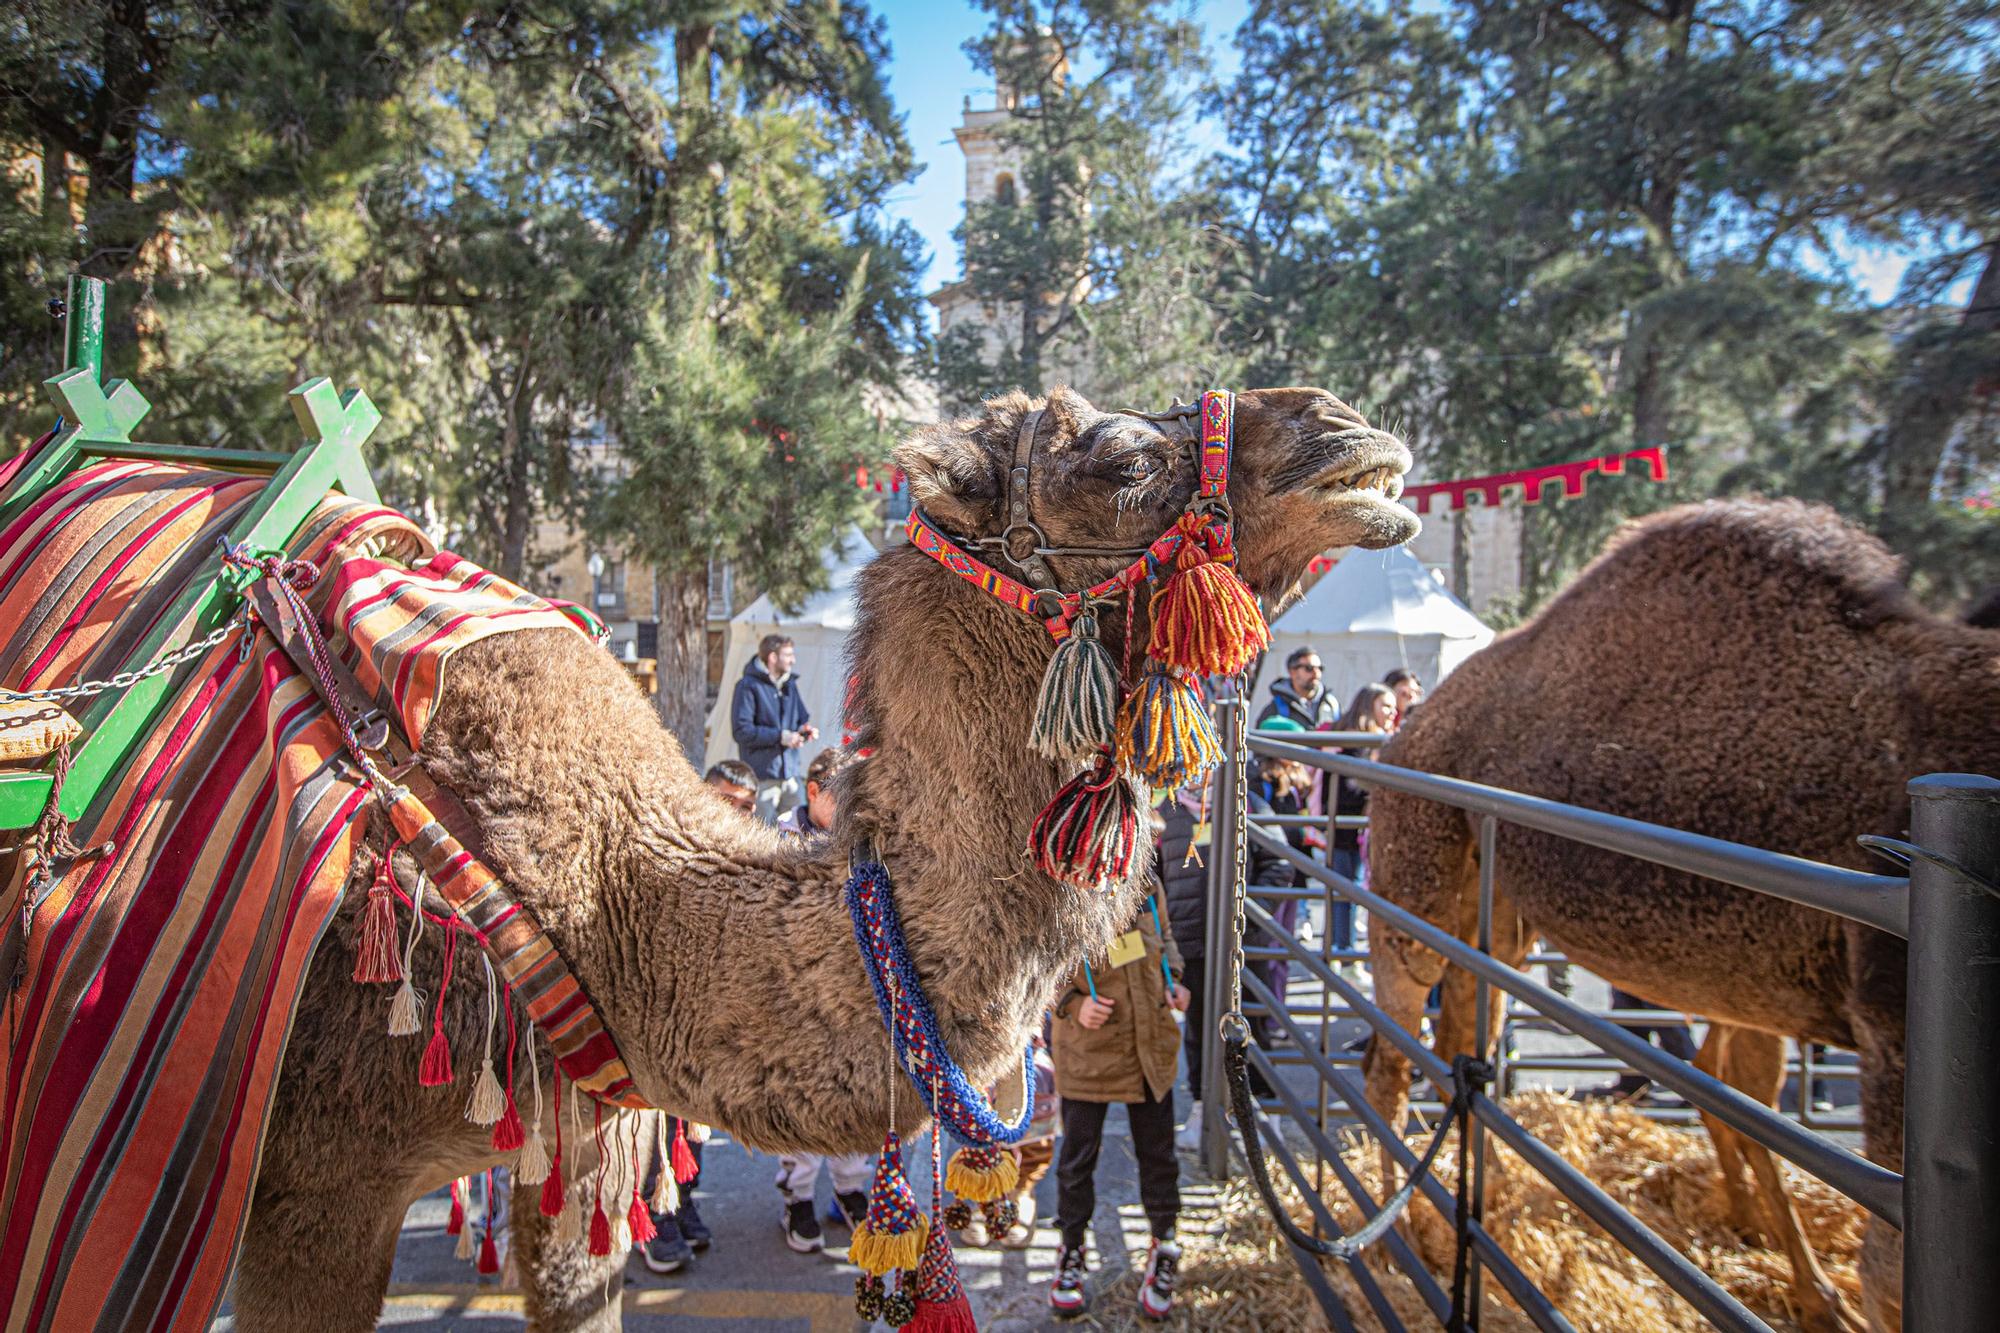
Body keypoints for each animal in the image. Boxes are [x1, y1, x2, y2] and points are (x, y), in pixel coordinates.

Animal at [1360, 498, 2000, 1328]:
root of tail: (1405, 734)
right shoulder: (1892, 1015)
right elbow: (1889, 1270)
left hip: (1502, 908)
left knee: (1468, 1034)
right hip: (1416, 852)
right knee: (1392, 1050)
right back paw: (1394, 1248)